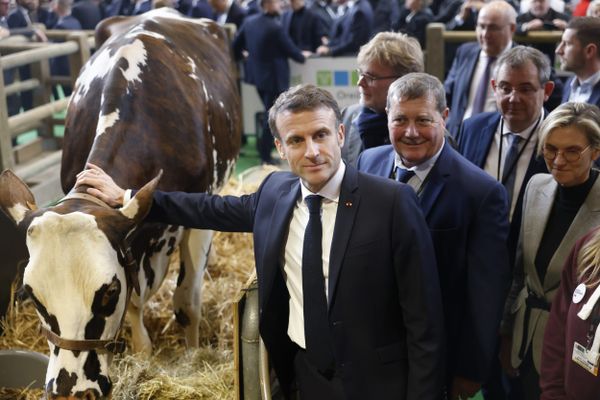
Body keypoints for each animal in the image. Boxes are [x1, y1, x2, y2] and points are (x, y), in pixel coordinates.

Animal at [0, 7, 241, 398]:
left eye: (108, 292)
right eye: (31, 295)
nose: (72, 391)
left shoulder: (198, 216)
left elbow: (187, 301)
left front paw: (192, 354)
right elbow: (137, 309)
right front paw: (143, 354)